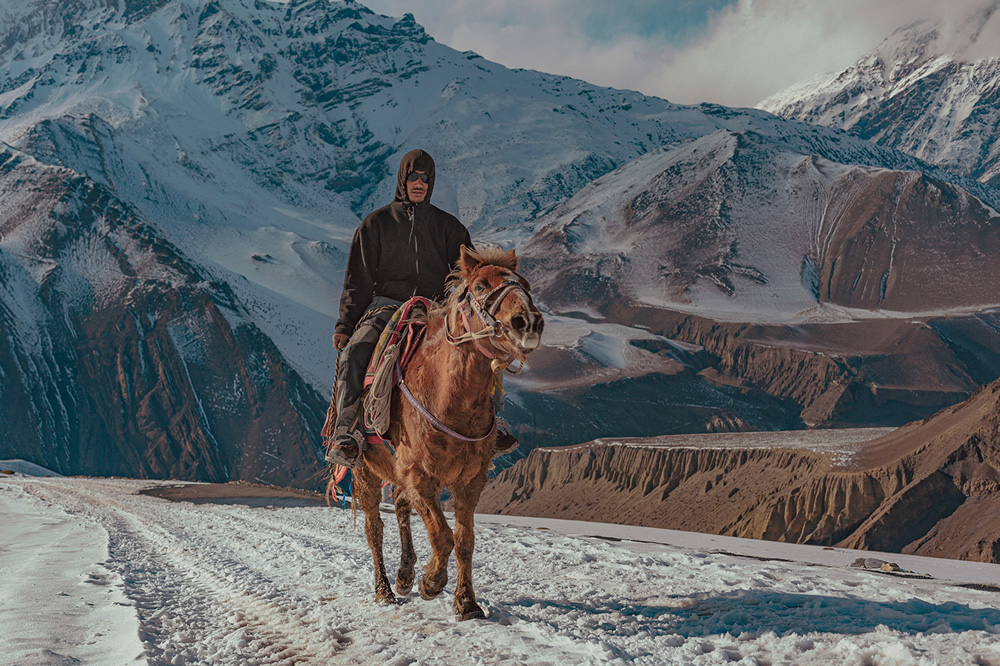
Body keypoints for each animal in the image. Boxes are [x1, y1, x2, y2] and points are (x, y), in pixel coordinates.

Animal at [348, 245, 544, 616]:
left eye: (525, 284)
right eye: (480, 286)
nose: (528, 322)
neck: (450, 400)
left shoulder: (471, 480)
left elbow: (465, 540)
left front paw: (466, 602)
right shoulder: (419, 473)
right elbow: (442, 534)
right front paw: (431, 582)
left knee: (401, 507)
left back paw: (404, 576)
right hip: (364, 470)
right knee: (373, 527)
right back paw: (385, 590)